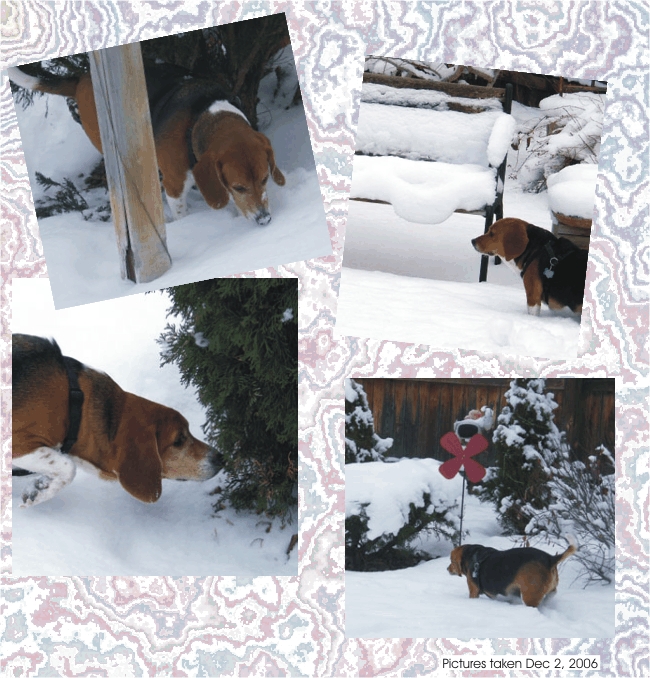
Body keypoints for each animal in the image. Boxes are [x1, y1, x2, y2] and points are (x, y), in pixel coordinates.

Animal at [5, 63, 284, 224]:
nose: (264, 220)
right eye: (239, 187)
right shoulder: (174, 185)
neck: (203, 114)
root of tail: (83, 78)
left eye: (264, 180)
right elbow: (182, 211)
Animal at [10, 338, 220, 508]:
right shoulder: (19, 444)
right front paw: (41, 494)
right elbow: (69, 467)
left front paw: (40, 485)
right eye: (178, 440)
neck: (78, 408)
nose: (220, 458)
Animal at [446, 540, 576, 612]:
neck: (472, 554)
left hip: (529, 596)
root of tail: (550, 559)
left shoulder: (473, 591)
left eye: (451, 561)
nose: (447, 569)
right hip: (550, 594)